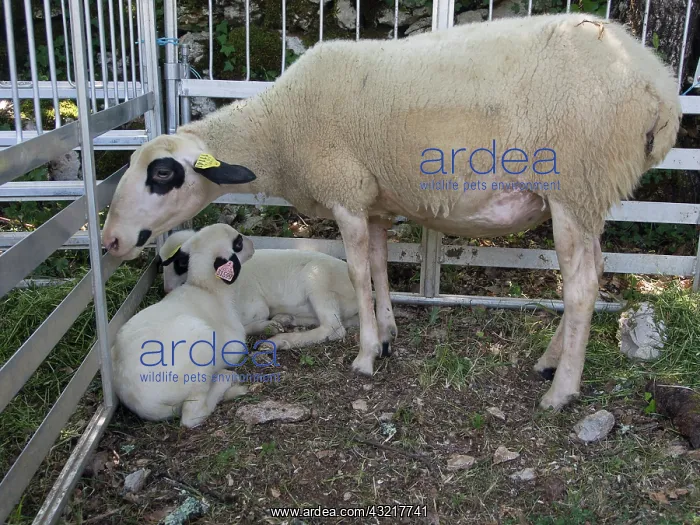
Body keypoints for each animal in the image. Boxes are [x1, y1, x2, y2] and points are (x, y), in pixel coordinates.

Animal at [110, 223, 257, 428]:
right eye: (238, 243)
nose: (253, 245)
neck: (207, 289)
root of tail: (141, 402)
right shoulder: (234, 348)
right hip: (200, 351)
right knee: (191, 415)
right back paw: (225, 380)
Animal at [159, 228, 359, 349]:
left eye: (181, 263)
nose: (166, 289)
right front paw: (274, 324)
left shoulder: (255, 306)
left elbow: (245, 326)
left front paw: (268, 328)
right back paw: (285, 320)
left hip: (317, 279)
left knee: (333, 328)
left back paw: (278, 342)